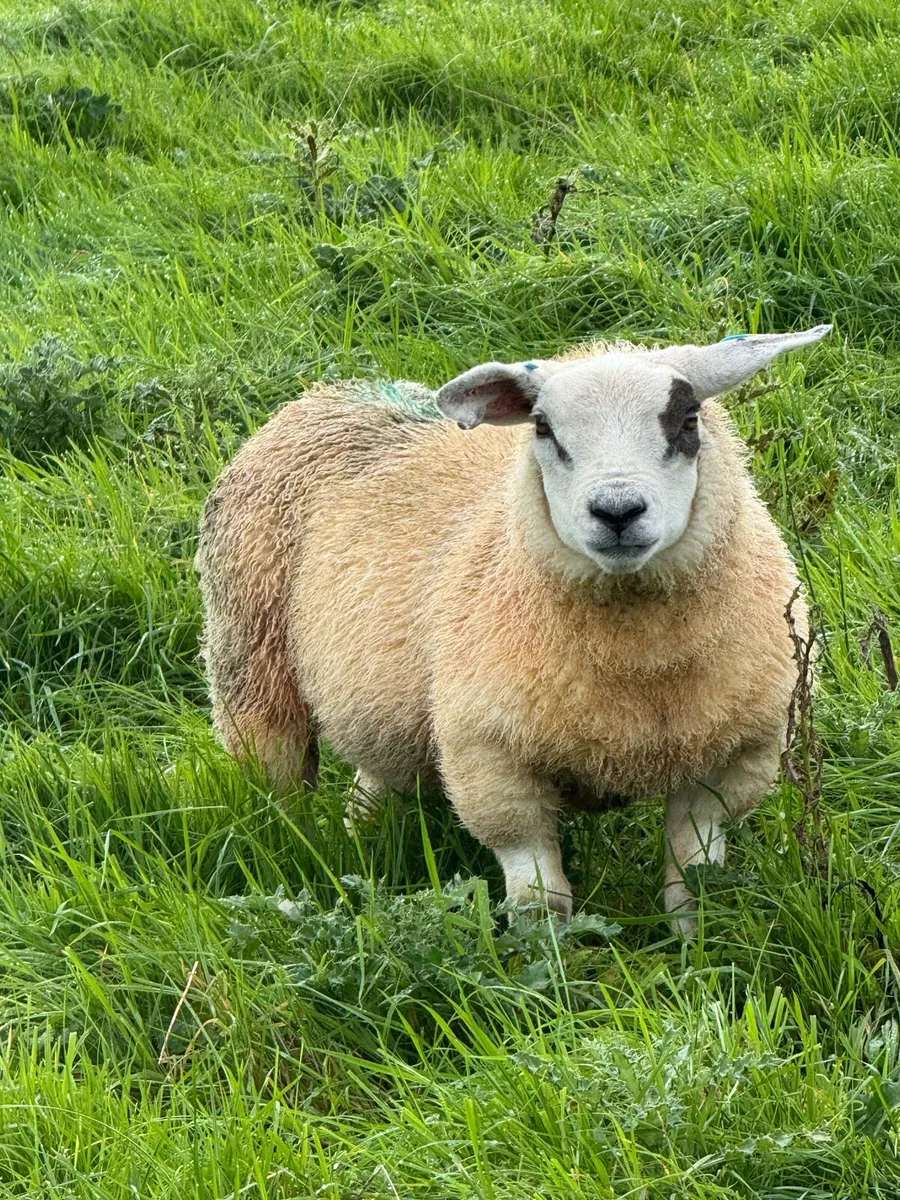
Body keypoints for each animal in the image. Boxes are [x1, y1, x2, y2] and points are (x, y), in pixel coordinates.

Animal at [196, 324, 831, 935]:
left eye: (688, 419)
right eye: (544, 429)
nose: (617, 511)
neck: (641, 667)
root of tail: (330, 393)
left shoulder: (736, 759)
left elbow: (693, 880)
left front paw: (696, 950)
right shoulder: (489, 760)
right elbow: (540, 901)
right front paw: (551, 964)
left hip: (383, 705)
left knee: (374, 777)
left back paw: (361, 840)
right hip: (251, 659)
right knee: (276, 787)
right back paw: (293, 857)